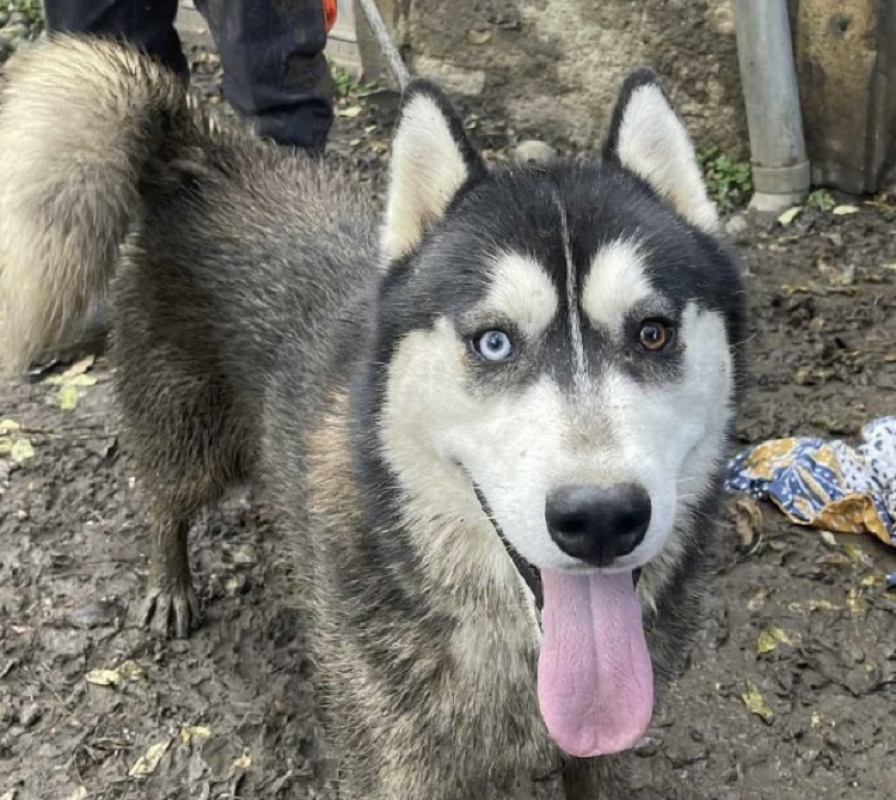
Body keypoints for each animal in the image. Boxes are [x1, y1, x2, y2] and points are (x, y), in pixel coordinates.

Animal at [0, 36, 745, 798]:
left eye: (652, 333)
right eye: (494, 342)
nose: (600, 518)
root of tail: (207, 153)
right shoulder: (391, 752)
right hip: (188, 435)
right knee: (163, 500)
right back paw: (170, 584)